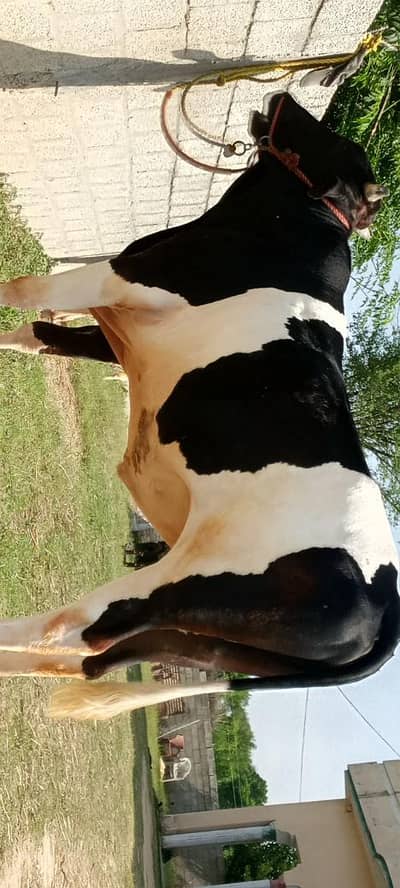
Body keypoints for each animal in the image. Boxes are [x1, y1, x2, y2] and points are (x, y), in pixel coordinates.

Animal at [0, 92, 398, 721]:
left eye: (334, 137)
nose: (285, 94)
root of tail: (388, 607)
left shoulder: (128, 279)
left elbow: (24, 291)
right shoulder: (122, 328)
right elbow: (41, 332)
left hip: (192, 580)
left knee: (73, 627)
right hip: (203, 642)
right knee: (88, 657)